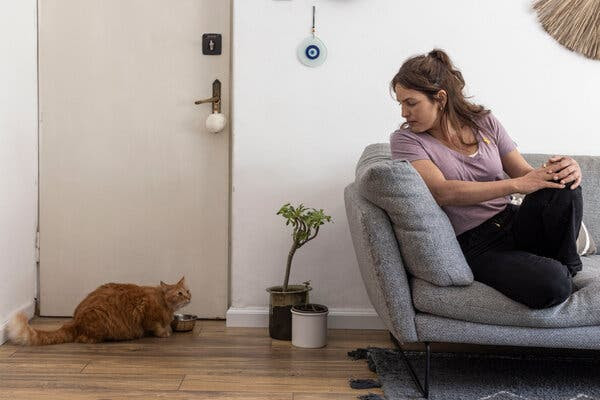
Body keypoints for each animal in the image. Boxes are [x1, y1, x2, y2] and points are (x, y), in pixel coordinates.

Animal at [9, 276, 190, 346]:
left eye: (188, 291)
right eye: (179, 293)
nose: (189, 297)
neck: (164, 303)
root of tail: (74, 320)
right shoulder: (147, 314)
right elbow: (156, 327)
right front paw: (164, 332)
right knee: (83, 339)